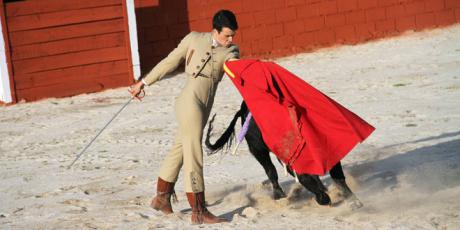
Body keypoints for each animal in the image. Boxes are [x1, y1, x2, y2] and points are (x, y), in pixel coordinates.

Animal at [208, 101, 362, 208]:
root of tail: (243, 108)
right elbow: (305, 178)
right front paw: (324, 199)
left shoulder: (330, 157)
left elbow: (338, 178)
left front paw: (353, 201)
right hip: (258, 150)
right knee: (271, 171)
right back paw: (279, 195)